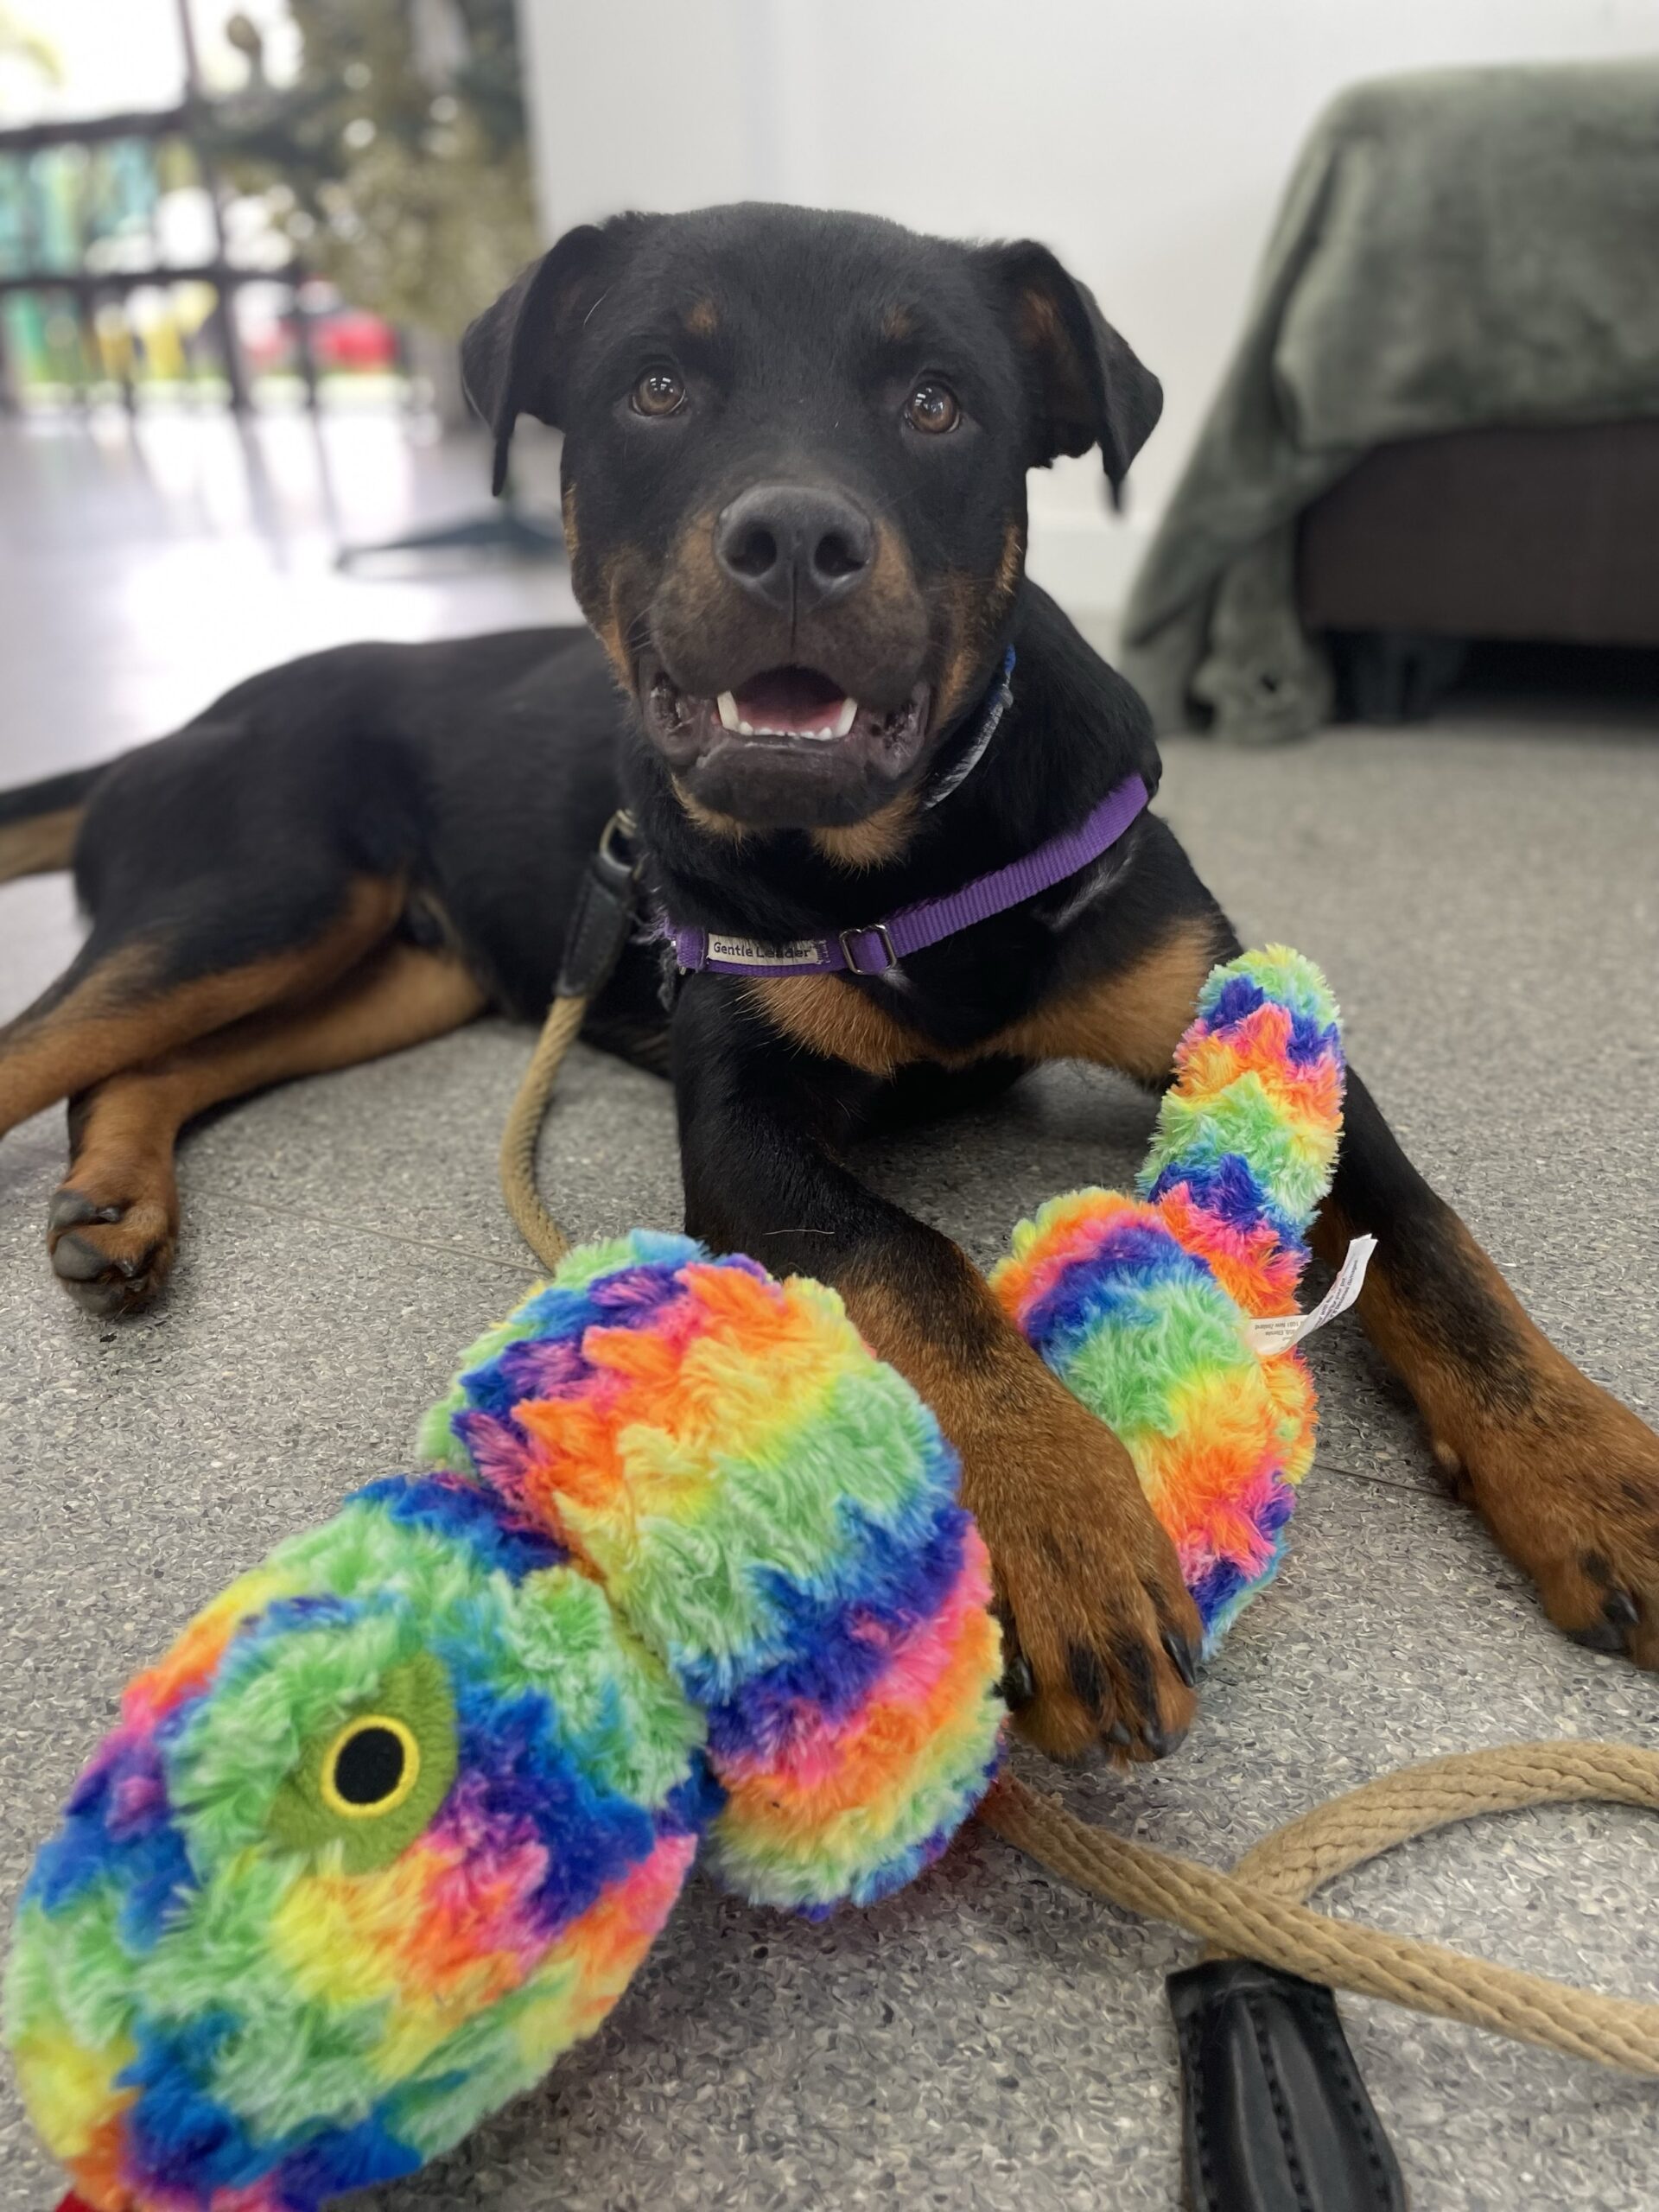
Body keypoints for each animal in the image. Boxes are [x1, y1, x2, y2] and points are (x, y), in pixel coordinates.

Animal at [2, 204, 1655, 1763]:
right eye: (656, 387)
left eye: (936, 403)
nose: (795, 539)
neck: (899, 863)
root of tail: (183, 723)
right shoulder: (745, 1127)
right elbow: (916, 1266)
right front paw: (1068, 1526)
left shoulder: (1227, 1014)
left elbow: (1438, 1250)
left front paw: (1590, 1471)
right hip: (269, 893)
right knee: (55, 1040)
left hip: (388, 964)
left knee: (154, 1059)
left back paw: (115, 1206)